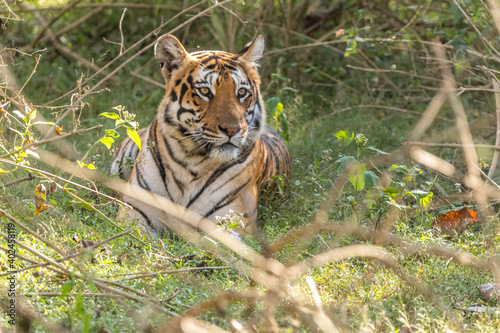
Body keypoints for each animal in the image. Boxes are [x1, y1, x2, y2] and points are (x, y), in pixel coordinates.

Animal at [109, 34, 290, 236]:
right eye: (205, 91)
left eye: (242, 92)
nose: (232, 129)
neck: (190, 160)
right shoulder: (135, 210)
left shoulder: (233, 218)